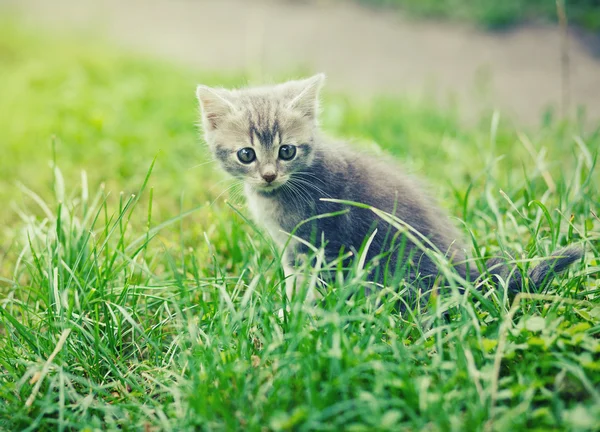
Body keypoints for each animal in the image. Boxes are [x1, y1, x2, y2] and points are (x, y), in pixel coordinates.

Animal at [196, 74, 580, 304]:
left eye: (286, 151)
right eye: (247, 154)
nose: (268, 175)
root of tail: (463, 271)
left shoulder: (318, 242)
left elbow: (305, 282)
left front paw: (295, 312)